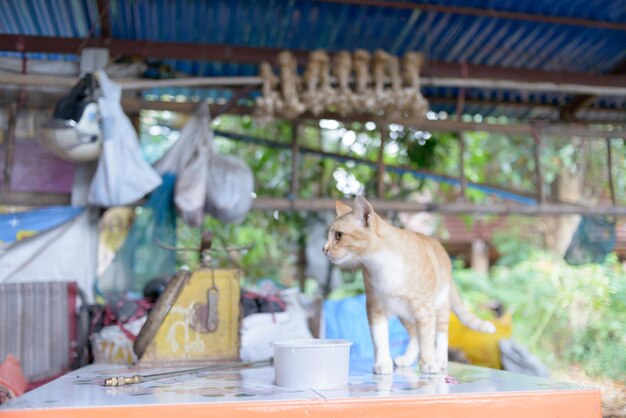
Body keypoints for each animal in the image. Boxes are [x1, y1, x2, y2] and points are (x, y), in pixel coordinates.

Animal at [322, 197, 492, 376]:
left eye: (339, 235)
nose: (324, 249)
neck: (382, 265)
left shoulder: (425, 309)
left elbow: (427, 339)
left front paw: (428, 363)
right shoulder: (374, 307)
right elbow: (380, 340)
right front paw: (382, 363)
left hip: (440, 308)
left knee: (440, 334)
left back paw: (439, 359)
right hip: (404, 314)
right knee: (414, 335)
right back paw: (407, 359)